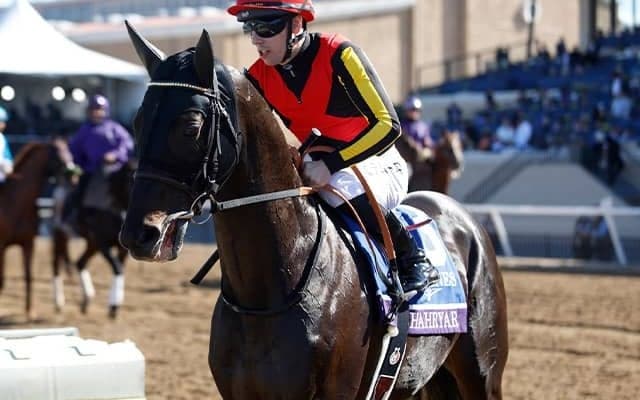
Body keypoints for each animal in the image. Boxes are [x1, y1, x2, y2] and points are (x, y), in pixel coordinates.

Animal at [0, 141, 73, 320]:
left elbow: (29, 276)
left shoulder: (28, 244)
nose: (72, 172)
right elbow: (1, 280)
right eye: (57, 153)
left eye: (68, 150)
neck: (15, 203)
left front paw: (30, 311)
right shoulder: (1, 246)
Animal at [51, 159, 135, 318]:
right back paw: (58, 302)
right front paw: (113, 306)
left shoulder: (122, 249)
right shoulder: (103, 244)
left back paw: (87, 299)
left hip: (91, 243)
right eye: (131, 179)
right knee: (56, 264)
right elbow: (117, 268)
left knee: (80, 263)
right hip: (61, 236)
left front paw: (114, 305)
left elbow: (120, 269)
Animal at [119, 25, 508, 399]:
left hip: (483, 375)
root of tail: (462, 218)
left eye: (191, 126)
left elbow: (387, 122)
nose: (140, 234)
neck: (267, 294)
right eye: (137, 122)